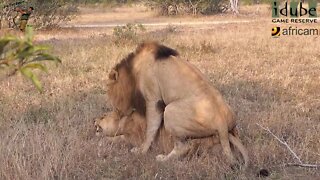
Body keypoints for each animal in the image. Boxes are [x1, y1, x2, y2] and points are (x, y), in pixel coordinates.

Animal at [106, 41, 249, 167]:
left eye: (111, 94)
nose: (117, 112)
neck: (134, 69)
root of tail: (222, 124)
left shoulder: (153, 99)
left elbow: (150, 129)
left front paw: (141, 151)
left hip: (170, 110)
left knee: (183, 147)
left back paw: (162, 159)